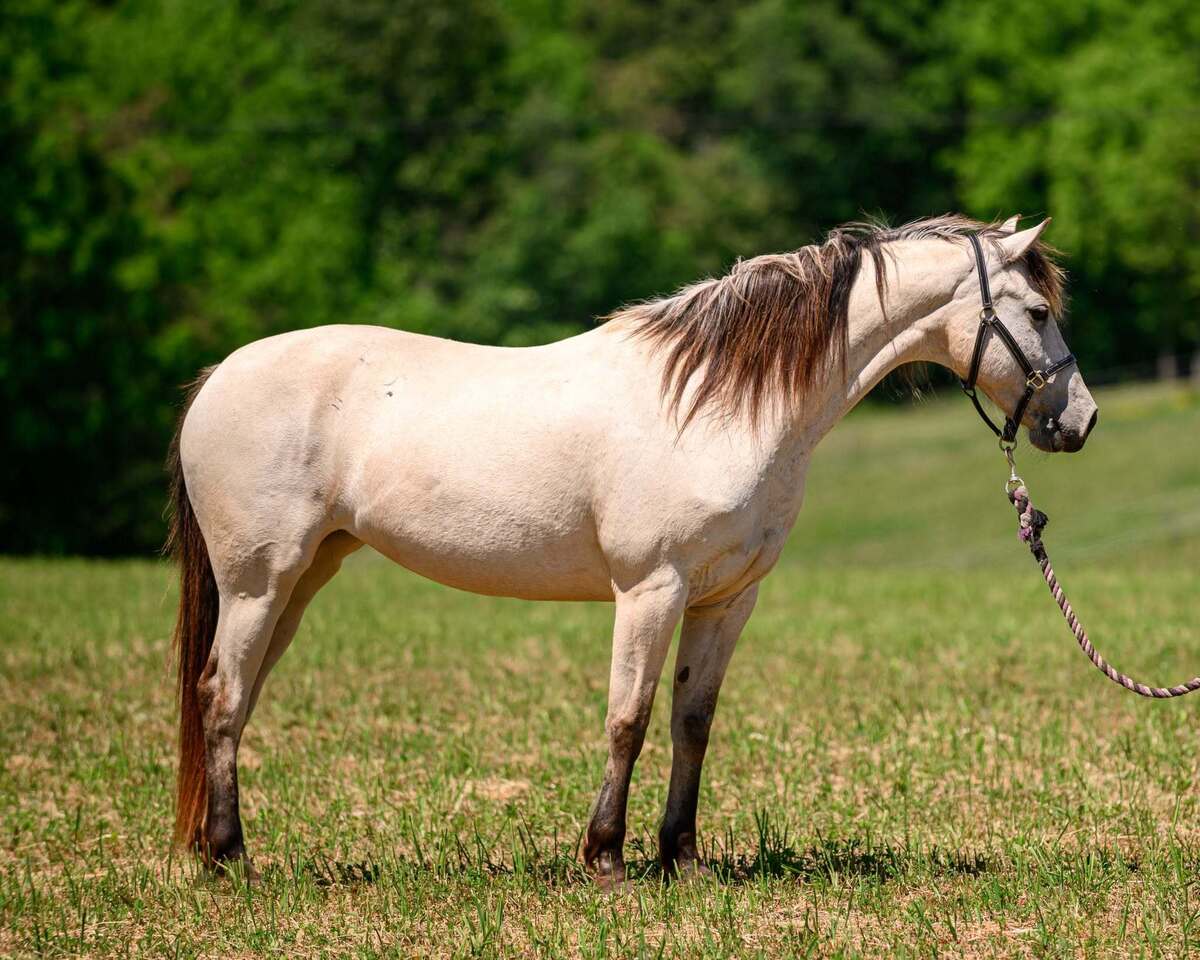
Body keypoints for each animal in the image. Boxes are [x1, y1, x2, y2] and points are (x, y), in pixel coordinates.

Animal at [167, 214, 1098, 888]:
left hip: (301, 580)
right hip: (258, 582)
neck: (720, 404)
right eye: (1038, 312)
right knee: (221, 696)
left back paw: (219, 848)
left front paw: (680, 856)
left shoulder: (727, 598)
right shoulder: (651, 589)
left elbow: (692, 722)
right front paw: (607, 856)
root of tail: (217, 379)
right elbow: (629, 719)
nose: (1080, 422)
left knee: (237, 696)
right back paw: (231, 858)